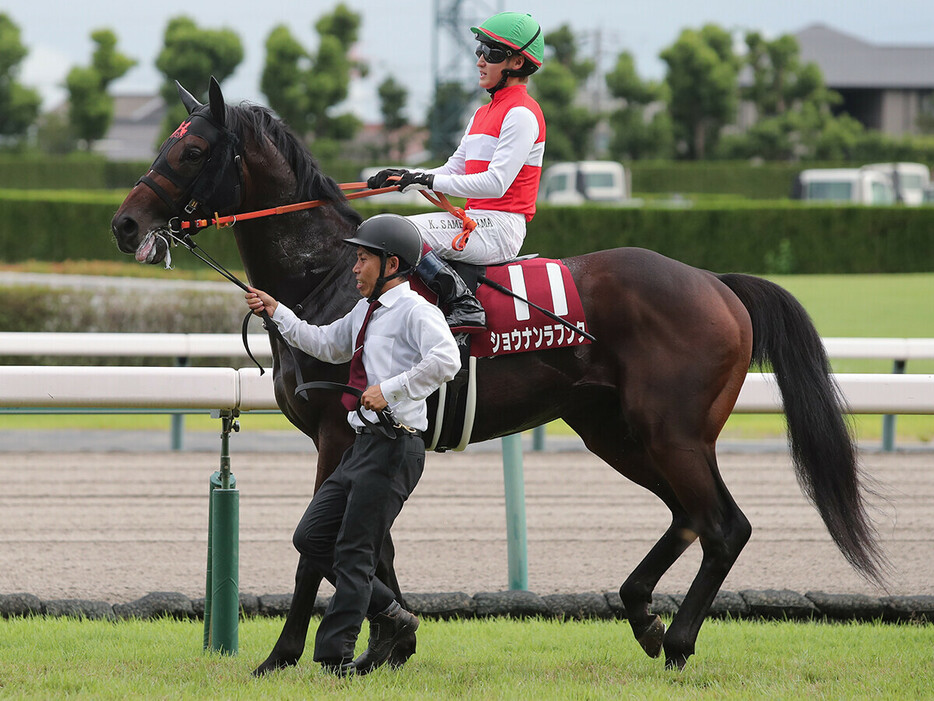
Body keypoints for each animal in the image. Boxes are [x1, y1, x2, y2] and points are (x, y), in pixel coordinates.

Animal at [109, 78, 884, 672]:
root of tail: (717, 283)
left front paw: (287, 652)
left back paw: (677, 638)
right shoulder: (370, 435)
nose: (124, 223)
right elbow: (375, 543)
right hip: (616, 431)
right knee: (692, 517)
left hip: (672, 433)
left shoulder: (340, 433)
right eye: (167, 142)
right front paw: (390, 639)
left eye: (192, 148)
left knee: (724, 524)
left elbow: (322, 547)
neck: (326, 276)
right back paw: (644, 615)